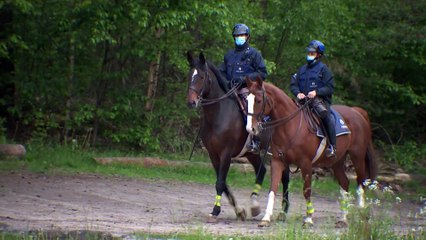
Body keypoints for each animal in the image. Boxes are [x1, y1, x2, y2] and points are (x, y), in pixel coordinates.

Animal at [186, 51, 292, 222]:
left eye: (201, 77)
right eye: (190, 75)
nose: (191, 102)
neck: (219, 114)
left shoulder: (226, 153)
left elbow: (220, 183)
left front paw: (215, 210)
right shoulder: (213, 154)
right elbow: (223, 183)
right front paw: (239, 211)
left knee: (285, 177)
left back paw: (283, 211)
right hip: (252, 153)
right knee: (262, 171)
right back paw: (254, 206)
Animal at [245, 77, 378, 227]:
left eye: (258, 100)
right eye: (247, 99)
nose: (251, 129)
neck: (290, 126)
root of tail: (357, 112)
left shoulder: (306, 164)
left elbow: (306, 190)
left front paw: (308, 218)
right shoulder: (277, 161)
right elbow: (272, 189)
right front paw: (266, 218)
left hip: (357, 156)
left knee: (361, 183)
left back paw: (361, 212)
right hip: (337, 161)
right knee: (344, 183)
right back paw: (343, 219)